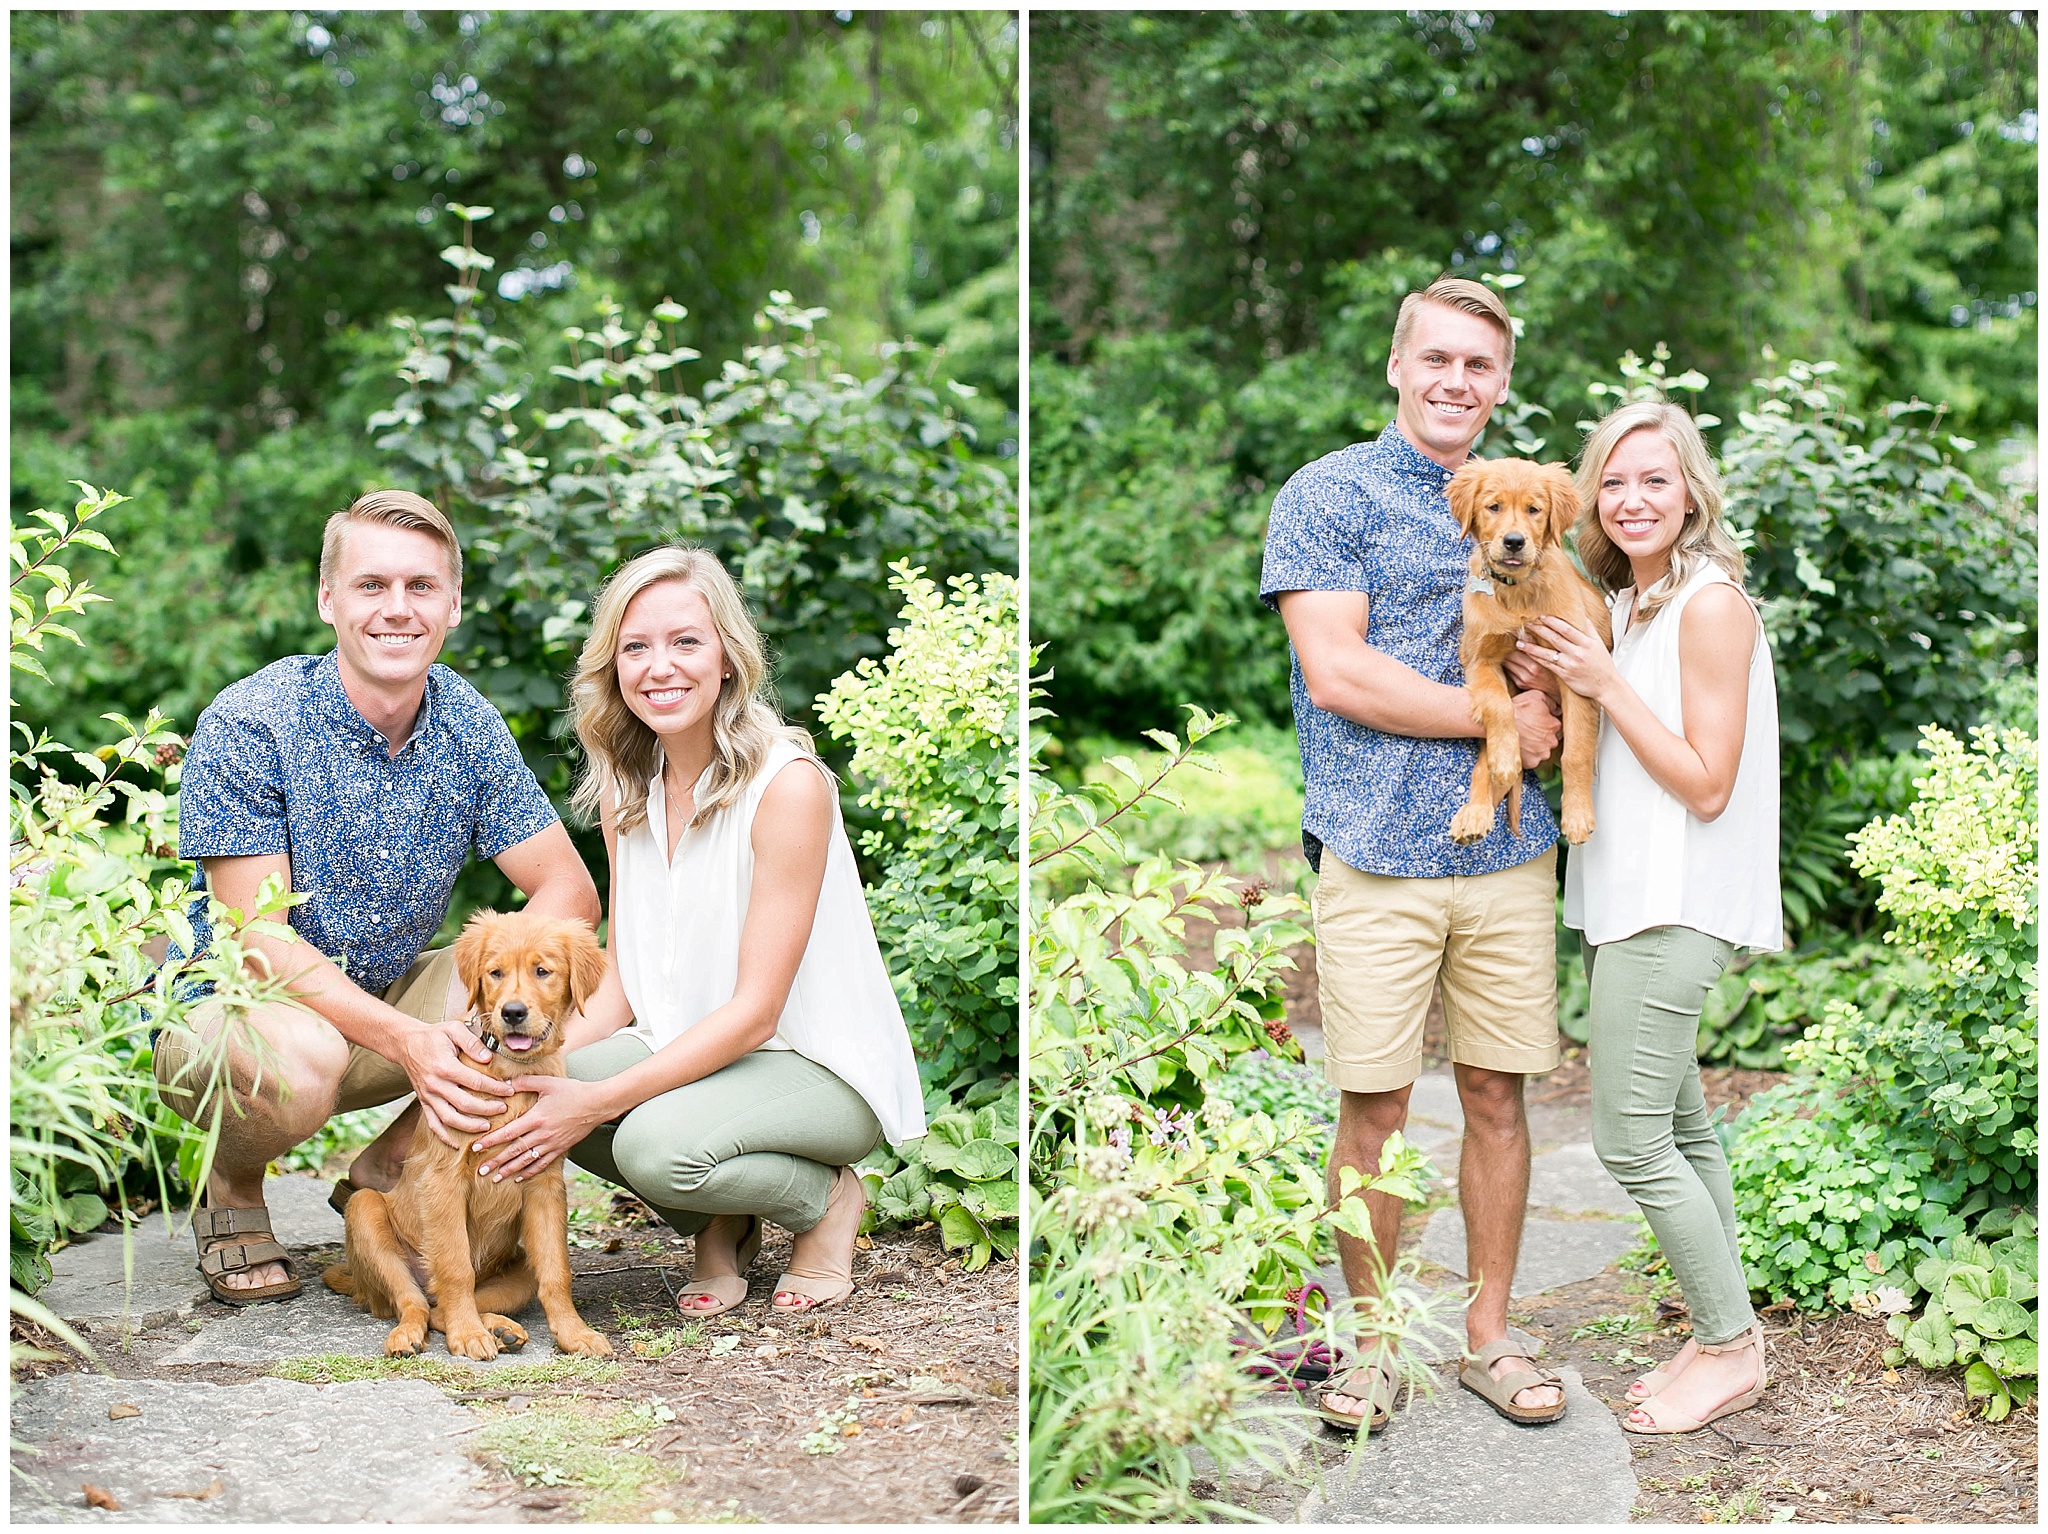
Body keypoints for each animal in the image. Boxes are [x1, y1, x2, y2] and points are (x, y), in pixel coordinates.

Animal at [323, 905, 610, 1359]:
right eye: (495, 972)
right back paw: (420, 1334)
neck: (512, 1074)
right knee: (416, 1302)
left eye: (542, 971)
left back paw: (501, 1328)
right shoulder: (445, 1178)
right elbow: (456, 1265)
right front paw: (467, 1334)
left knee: (442, 1306)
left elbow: (557, 1272)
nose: (512, 1012)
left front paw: (574, 1333)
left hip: (517, 1271)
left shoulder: (545, 1182)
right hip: (366, 1212)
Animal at [1449, 460, 1605, 843]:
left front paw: (1577, 815)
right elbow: (1498, 705)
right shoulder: (1480, 660)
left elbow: (1577, 751)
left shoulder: (1575, 670)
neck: (1517, 592)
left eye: (1534, 510)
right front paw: (1506, 759)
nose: (1514, 542)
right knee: (1483, 764)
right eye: (1494, 507)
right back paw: (1475, 812)